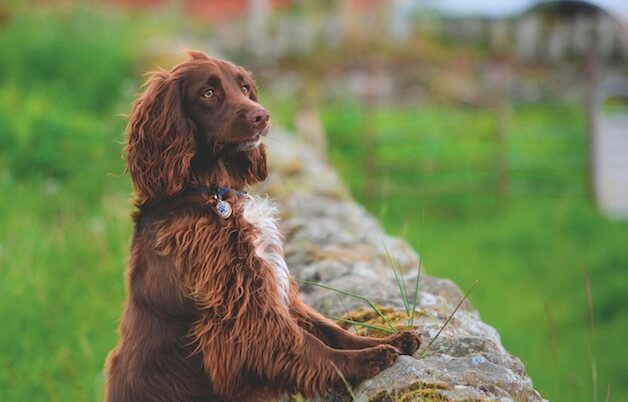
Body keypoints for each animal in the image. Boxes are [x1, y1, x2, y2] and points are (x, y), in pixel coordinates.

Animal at [104, 51, 422, 402]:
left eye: (244, 87)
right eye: (208, 93)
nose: (262, 116)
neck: (213, 194)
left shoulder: (269, 285)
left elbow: (330, 328)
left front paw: (391, 340)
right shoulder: (243, 306)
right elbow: (306, 344)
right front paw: (367, 358)